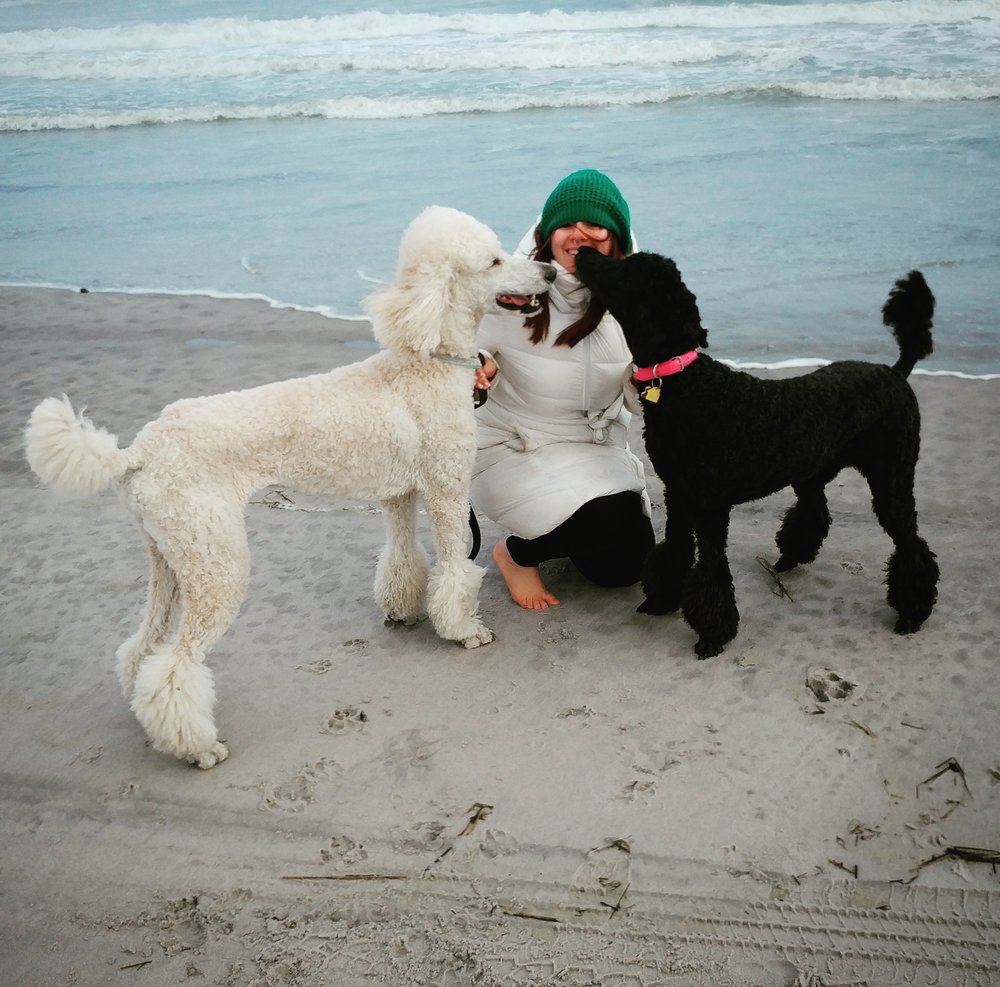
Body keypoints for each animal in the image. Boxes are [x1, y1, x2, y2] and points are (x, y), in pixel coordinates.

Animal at [24, 206, 555, 768]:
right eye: (493, 260)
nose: (549, 273)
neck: (426, 360)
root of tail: (140, 452)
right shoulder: (446, 488)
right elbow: (455, 567)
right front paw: (465, 631)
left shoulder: (398, 494)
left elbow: (402, 556)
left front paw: (402, 609)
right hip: (215, 560)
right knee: (175, 665)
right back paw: (199, 748)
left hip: (168, 555)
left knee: (143, 648)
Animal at [575, 246, 939, 658]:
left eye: (627, 268)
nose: (583, 250)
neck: (686, 386)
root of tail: (896, 372)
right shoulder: (678, 495)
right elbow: (676, 550)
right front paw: (662, 599)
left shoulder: (710, 507)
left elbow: (711, 569)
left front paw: (712, 635)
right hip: (812, 471)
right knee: (814, 511)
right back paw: (789, 558)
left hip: (891, 479)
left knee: (911, 543)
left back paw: (911, 612)